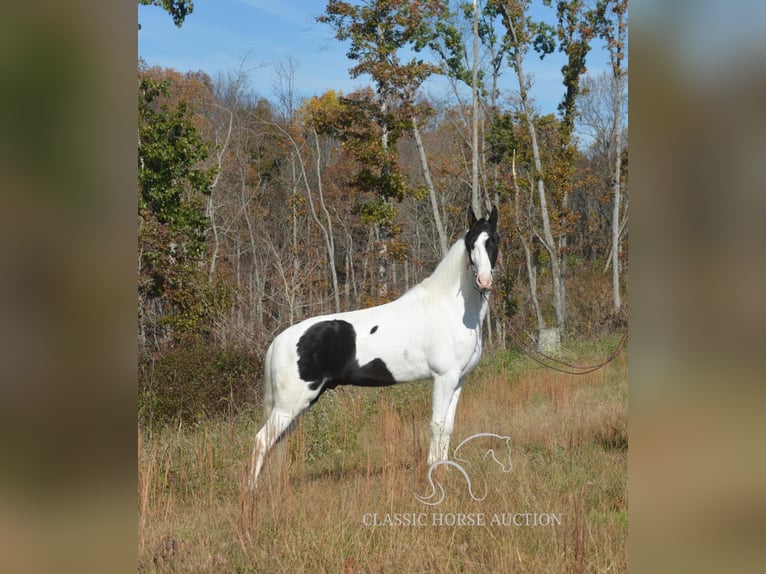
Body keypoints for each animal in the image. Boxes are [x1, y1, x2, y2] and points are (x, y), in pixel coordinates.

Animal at [248, 207, 504, 490]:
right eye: (471, 244)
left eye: (494, 240)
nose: (484, 280)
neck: (452, 308)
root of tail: (278, 341)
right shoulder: (443, 377)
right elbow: (436, 425)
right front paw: (433, 473)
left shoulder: (458, 379)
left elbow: (448, 427)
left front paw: (445, 471)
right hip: (290, 404)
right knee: (262, 440)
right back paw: (251, 491)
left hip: (301, 404)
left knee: (277, 443)